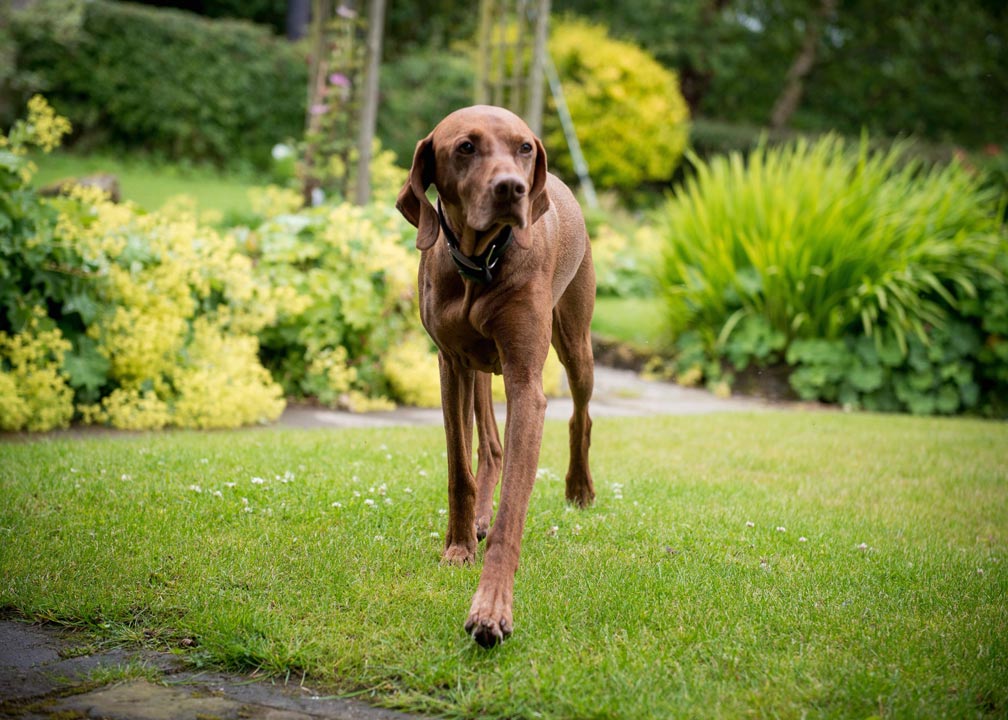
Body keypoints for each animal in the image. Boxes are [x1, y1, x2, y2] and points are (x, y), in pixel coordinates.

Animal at [395, 102, 596, 645]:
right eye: (466, 147)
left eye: (524, 147)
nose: (513, 188)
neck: (480, 262)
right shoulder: (449, 364)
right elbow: (458, 470)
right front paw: (460, 545)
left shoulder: (525, 381)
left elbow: (513, 514)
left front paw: (491, 609)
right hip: (479, 369)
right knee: (490, 445)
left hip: (575, 343)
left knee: (582, 414)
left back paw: (579, 487)